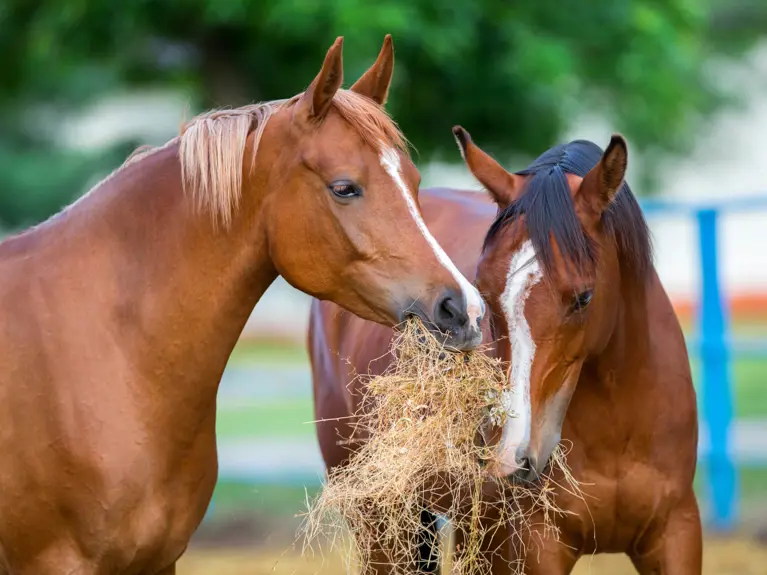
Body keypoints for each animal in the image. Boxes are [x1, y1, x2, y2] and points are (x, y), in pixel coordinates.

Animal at [308, 128, 704, 572]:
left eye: (584, 298)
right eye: (484, 292)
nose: (512, 455)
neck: (619, 427)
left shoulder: (675, 534)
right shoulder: (533, 546)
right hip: (383, 525)